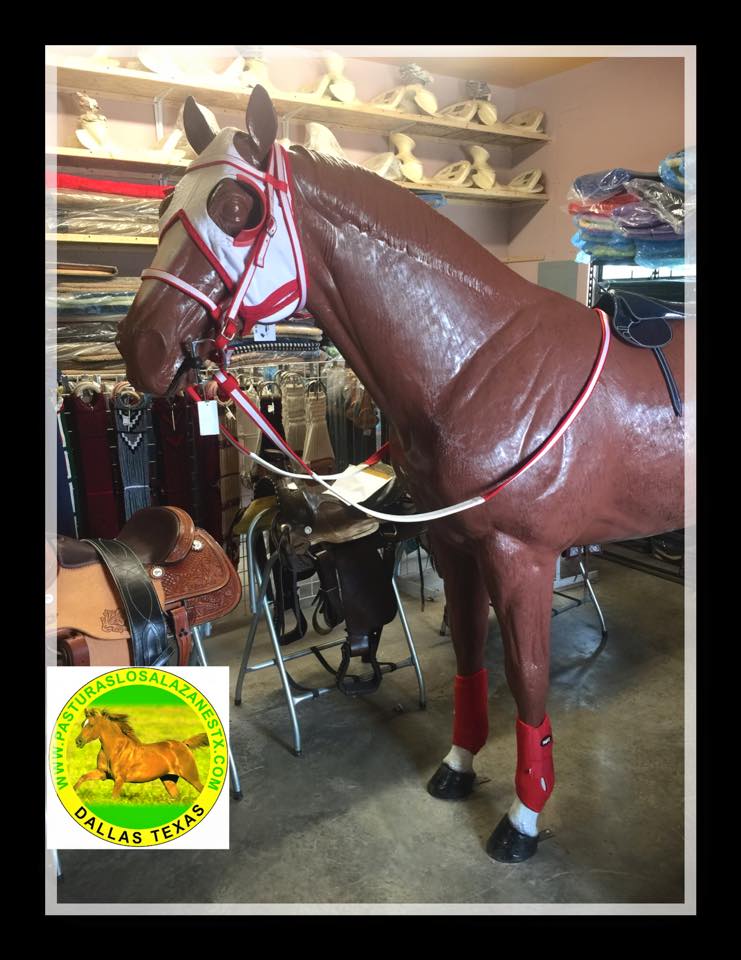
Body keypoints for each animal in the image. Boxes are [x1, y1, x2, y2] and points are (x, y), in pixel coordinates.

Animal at [74, 708, 208, 800]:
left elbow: (114, 797)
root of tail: (184, 744)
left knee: (200, 788)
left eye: (91, 725)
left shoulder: (119, 779)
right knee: (177, 797)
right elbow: (83, 777)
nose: (78, 741)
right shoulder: (103, 773)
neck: (115, 750)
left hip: (191, 776)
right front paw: (74, 791)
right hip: (169, 779)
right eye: (82, 724)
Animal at [115, 86, 687, 862]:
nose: (138, 345)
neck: (477, 364)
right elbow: (471, 656)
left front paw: (523, 818)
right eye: (166, 202)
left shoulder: (523, 558)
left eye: (238, 207)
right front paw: (458, 766)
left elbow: (528, 679)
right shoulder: (456, 548)